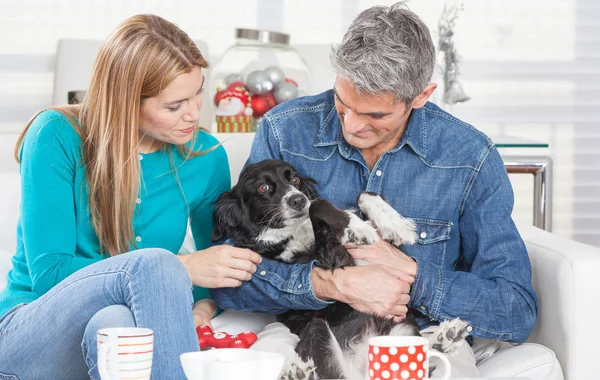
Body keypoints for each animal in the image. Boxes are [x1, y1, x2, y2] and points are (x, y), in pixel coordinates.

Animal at [211, 159, 468, 378]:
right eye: (263, 187)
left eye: (295, 179)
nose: (298, 200)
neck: (296, 235)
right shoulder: (329, 259)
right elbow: (318, 206)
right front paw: (356, 228)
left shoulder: (391, 254)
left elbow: (362, 195)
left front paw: (394, 224)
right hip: (317, 329)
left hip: (403, 331)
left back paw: (446, 338)